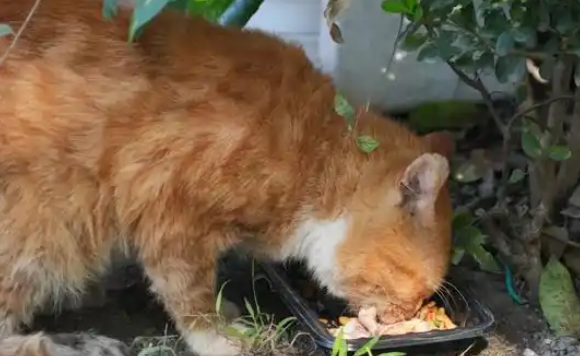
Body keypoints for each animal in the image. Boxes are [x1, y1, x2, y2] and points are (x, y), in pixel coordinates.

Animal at [0, 0, 454, 354]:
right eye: (417, 289)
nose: (406, 315)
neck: (311, 149)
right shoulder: (172, 220)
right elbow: (191, 299)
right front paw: (220, 337)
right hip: (42, 231)